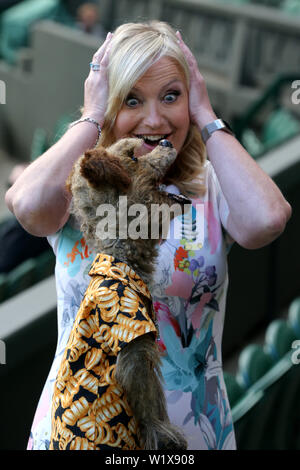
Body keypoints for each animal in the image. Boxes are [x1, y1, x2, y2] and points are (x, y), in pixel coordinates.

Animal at [50, 138, 189, 450]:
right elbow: (150, 408)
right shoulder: (134, 354)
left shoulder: (142, 351)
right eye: (134, 157)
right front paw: (164, 437)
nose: (165, 140)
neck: (121, 259)